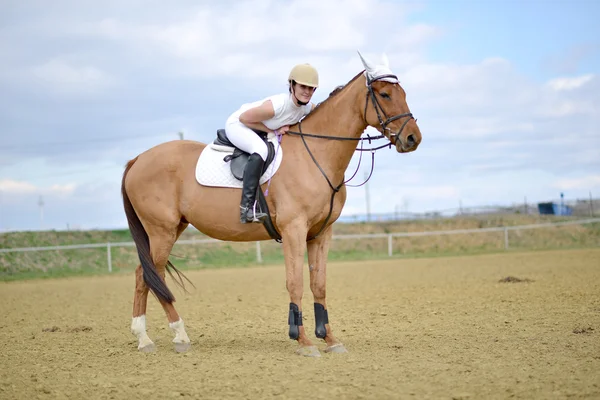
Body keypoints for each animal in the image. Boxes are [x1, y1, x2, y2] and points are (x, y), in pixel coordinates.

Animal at [122, 50, 422, 356]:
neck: (316, 154)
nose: (413, 138)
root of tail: (138, 159)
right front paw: (303, 341)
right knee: (148, 275)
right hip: (162, 230)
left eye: (403, 93)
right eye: (384, 94)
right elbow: (295, 283)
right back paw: (168, 337)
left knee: (146, 274)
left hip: (174, 228)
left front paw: (330, 339)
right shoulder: (294, 230)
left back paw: (151, 337)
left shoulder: (321, 233)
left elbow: (319, 284)